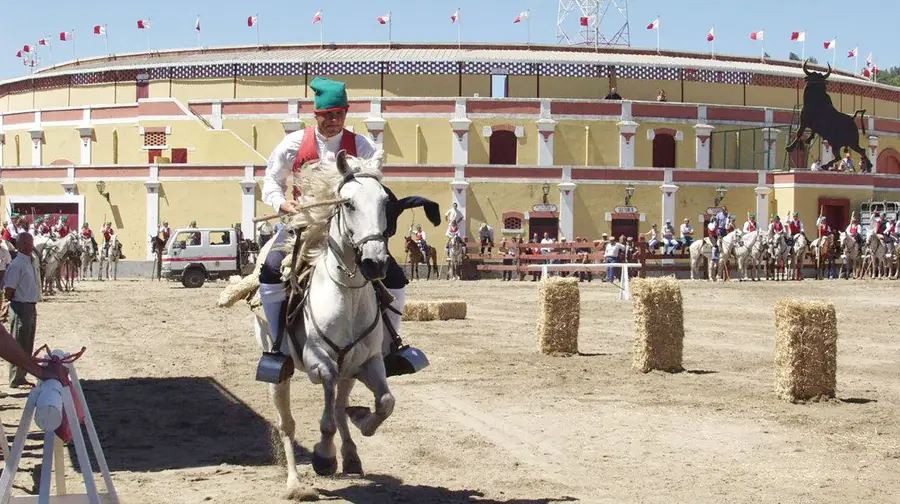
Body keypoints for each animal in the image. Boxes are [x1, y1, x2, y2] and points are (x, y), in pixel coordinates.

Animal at [253, 149, 394, 496]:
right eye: (348, 204)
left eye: (385, 201)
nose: (375, 262)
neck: (348, 293)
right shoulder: (320, 363)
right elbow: (327, 419)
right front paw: (324, 457)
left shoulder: (369, 362)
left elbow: (385, 402)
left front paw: (361, 421)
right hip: (280, 372)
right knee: (287, 424)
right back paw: (295, 484)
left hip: (350, 372)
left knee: (340, 405)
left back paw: (351, 453)